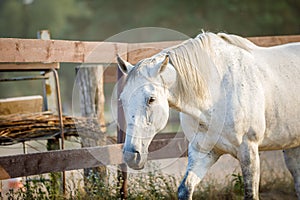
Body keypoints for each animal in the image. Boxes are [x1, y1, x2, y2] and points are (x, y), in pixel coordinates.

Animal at [116, 32, 300, 199]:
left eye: (151, 99)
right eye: (122, 99)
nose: (131, 156)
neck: (217, 92)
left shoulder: (249, 151)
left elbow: (250, 194)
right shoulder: (203, 151)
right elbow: (185, 189)